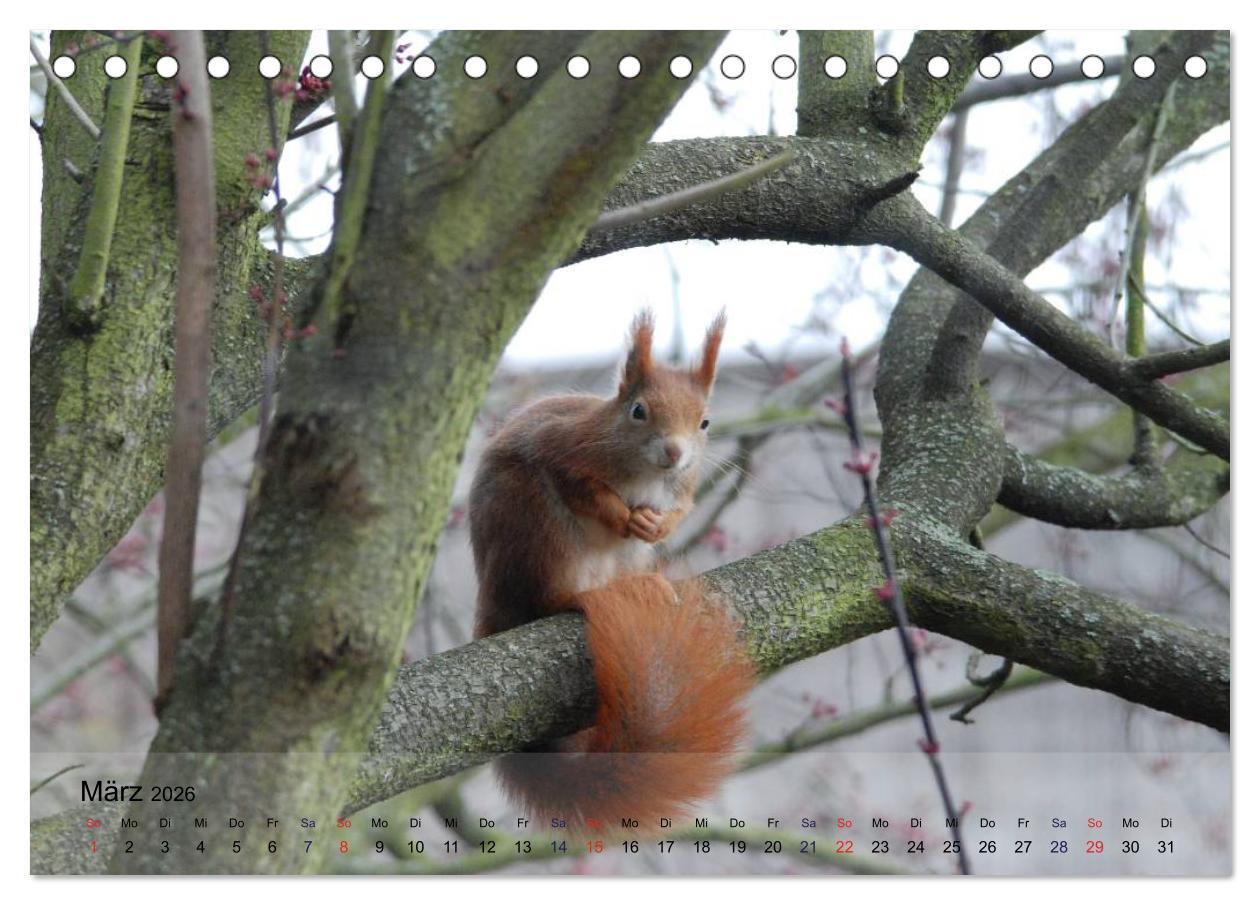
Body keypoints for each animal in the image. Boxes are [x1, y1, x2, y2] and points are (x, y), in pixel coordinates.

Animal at [468, 309, 755, 829]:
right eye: (638, 411)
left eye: (705, 422)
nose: (674, 453)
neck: (647, 474)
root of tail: (493, 600)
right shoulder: (562, 448)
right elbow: (584, 489)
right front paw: (623, 516)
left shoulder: (683, 487)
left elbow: (680, 508)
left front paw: (657, 525)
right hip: (535, 525)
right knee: (548, 597)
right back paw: (583, 595)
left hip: (620, 556)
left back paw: (643, 586)